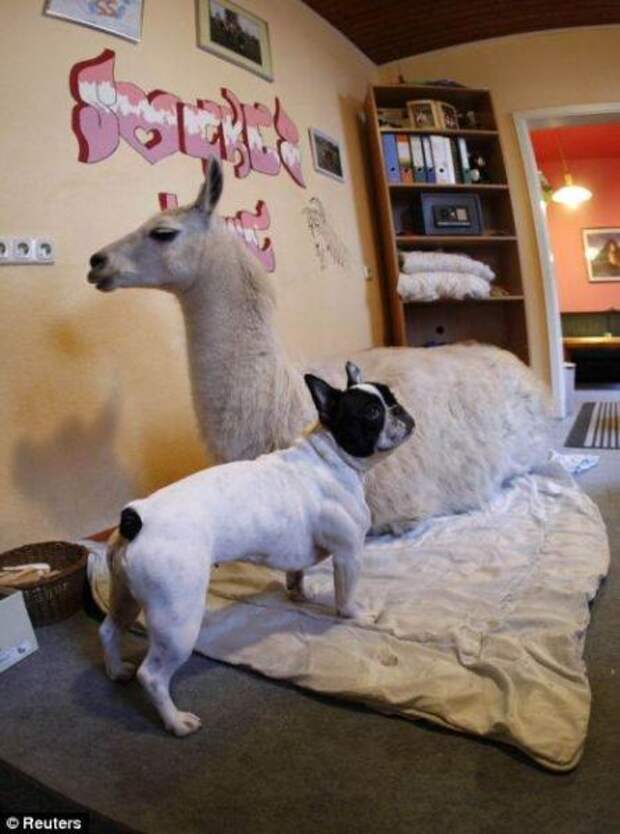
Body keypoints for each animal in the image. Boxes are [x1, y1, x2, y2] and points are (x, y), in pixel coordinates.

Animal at [99, 362, 415, 736]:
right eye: (371, 413)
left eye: (391, 398)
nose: (400, 409)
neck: (332, 457)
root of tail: (135, 518)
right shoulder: (349, 554)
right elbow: (346, 596)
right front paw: (357, 616)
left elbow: (296, 574)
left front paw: (299, 595)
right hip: (176, 618)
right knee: (152, 675)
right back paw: (176, 721)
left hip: (125, 594)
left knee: (109, 629)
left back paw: (116, 670)